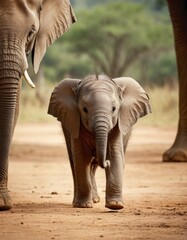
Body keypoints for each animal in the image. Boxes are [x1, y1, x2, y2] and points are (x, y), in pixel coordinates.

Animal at [47, 75, 151, 210]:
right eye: (84, 109)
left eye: (114, 109)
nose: (106, 162)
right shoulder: (75, 123)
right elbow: (81, 158)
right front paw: (83, 205)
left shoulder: (118, 126)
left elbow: (115, 155)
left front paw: (115, 205)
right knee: (75, 162)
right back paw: (84, 201)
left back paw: (95, 199)